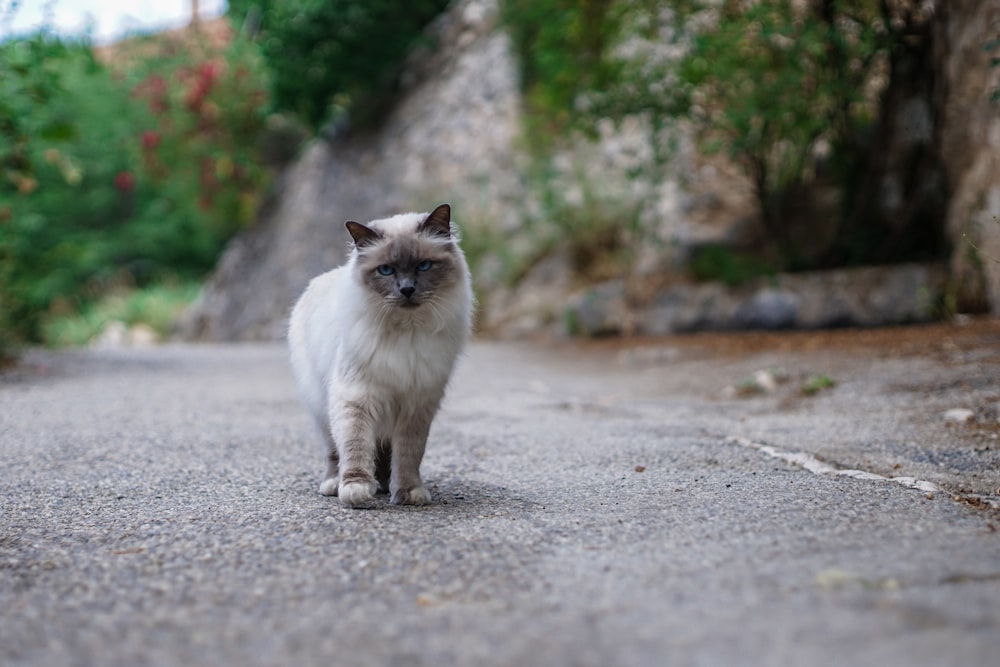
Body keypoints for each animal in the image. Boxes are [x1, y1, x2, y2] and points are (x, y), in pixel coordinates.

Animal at [288, 202, 474, 506]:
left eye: (423, 266)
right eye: (386, 270)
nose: (407, 289)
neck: (407, 333)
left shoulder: (415, 404)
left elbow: (409, 455)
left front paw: (409, 492)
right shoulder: (356, 397)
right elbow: (355, 446)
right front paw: (355, 490)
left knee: (385, 453)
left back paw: (386, 486)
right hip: (322, 406)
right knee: (334, 451)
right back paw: (334, 484)